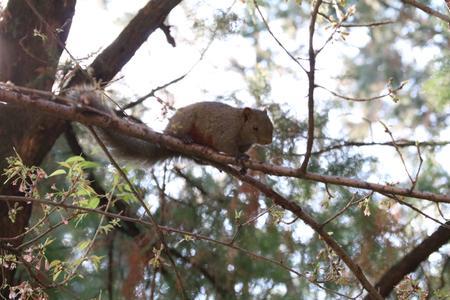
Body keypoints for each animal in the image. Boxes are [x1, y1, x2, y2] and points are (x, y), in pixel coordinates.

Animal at [69, 85, 274, 166]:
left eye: (271, 125)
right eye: (255, 127)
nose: (268, 142)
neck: (240, 126)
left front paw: (245, 158)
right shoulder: (226, 131)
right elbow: (227, 146)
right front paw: (238, 157)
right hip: (184, 123)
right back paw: (185, 138)